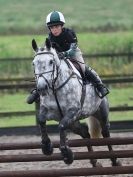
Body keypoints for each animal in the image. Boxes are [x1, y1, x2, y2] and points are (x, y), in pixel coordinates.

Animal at [31, 38, 121, 167]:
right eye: (34, 63)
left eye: (51, 62)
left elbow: (61, 126)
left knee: (105, 132)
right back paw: (94, 162)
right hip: (73, 123)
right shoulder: (48, 110)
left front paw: (66, 154)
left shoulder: (73, 110)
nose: (42, 88)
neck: (55, 87)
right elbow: (42, 120)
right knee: (85, 133)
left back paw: (114, 160)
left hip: (101, 112)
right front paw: (47, 146)